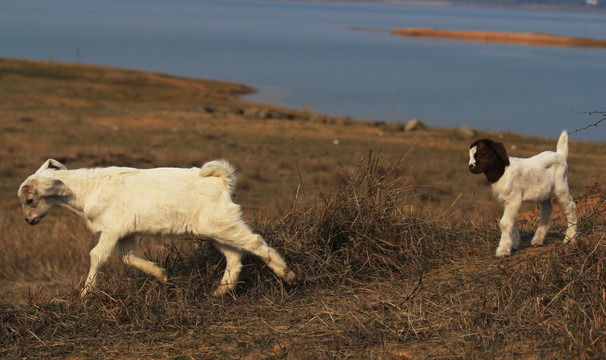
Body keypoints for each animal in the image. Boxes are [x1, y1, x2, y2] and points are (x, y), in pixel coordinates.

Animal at [20, 159, 300, 296]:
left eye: (30, 200)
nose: (28, 221)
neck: (87, 189)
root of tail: (222, 179)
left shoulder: (112, 229)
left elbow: (97, 256)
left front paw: (86, 293)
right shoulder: (127, 232)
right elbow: (127, 257)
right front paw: (161, 274)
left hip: (222, 223)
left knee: (254, 242)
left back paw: (287, 274)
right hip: (216, 229)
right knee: (234, 255)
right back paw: (221, 291)